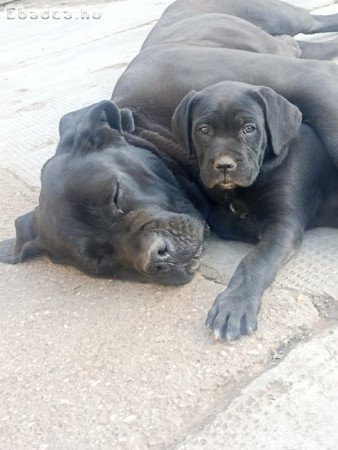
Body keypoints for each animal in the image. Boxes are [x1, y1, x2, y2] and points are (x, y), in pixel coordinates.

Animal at [173, 81, 336, 342]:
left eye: (249, 128)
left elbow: (255, 260)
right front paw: (249, 225)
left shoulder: (284, 224)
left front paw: (234, 305)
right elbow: (219, 219)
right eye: (204, 130)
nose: (224, 165)